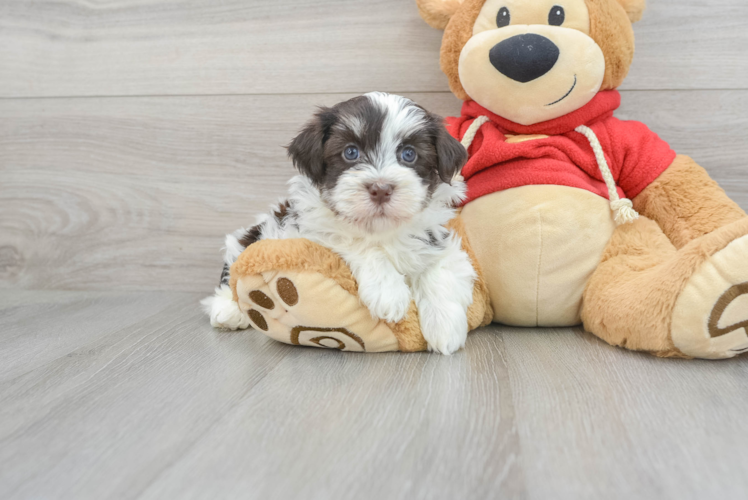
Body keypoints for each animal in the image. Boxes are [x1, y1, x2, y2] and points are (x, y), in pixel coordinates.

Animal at [202, 93, 476, 356]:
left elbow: (440, 267)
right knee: (236, 260)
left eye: (409, 154)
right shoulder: (311, 231)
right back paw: (227, 308)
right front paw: (388, 292)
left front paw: (445, 327)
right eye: (350, 152)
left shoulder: (436, 238)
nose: (381, 189)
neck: (381, 229)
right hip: (259, 231)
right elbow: (355, 242)